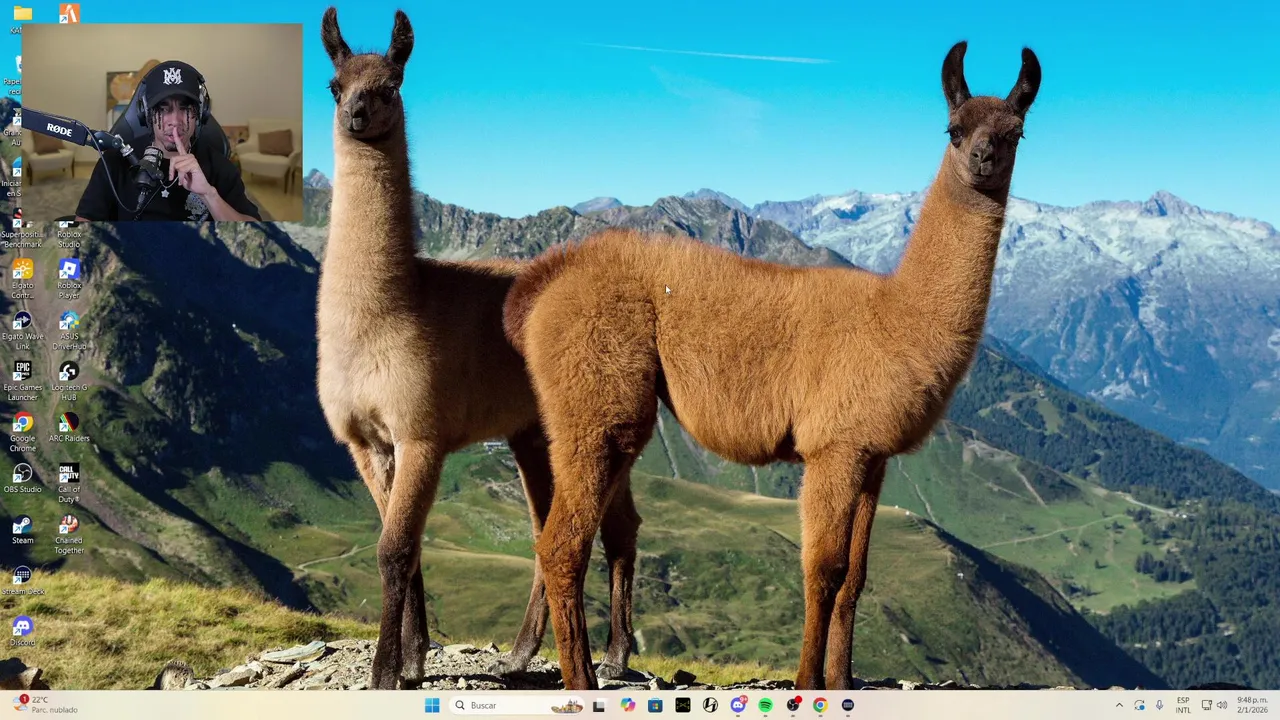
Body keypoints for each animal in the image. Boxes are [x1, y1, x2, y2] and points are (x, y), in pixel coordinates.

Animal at [314, 8, 640, 689]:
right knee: (560, 527)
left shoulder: (422, 431)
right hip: (531, 432)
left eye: (391, 84)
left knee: (612, 527)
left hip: (595, 422)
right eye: (335, 85)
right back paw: (522, 654)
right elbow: (405, 547)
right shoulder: (366, 440)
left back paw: (616, 654)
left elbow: (394, 549)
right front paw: (414, 657)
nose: (356, 115)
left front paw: (384, 671)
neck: (391, 312)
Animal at [503, 41, 1041, 690]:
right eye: (954, 129)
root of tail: (544, 279)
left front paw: (842, 681)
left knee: (576, 532)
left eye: (1014, 132)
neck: (896, 318)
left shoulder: (872, 456)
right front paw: (809, 682)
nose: (983, 158)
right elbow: (825, 569)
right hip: (600, 402)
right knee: (562, 543)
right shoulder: (833, 447)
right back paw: (580, 678)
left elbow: (856, 577)